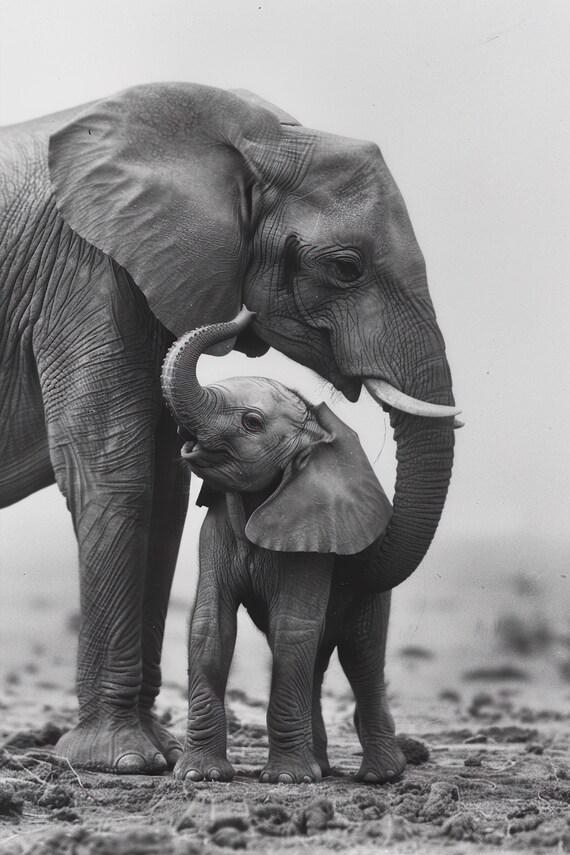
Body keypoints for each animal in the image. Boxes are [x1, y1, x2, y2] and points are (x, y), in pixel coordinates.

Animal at [161, 307, 403, 784]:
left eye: (251, 423)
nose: (246, 313)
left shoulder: (311, 532)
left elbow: (291, 627)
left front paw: (287, 780)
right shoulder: (217, 526)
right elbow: (210, 626)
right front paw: (199, 775)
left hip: (372, 589)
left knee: (362, 656)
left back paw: (380, 775)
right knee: (316, 660)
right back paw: (321, 767)